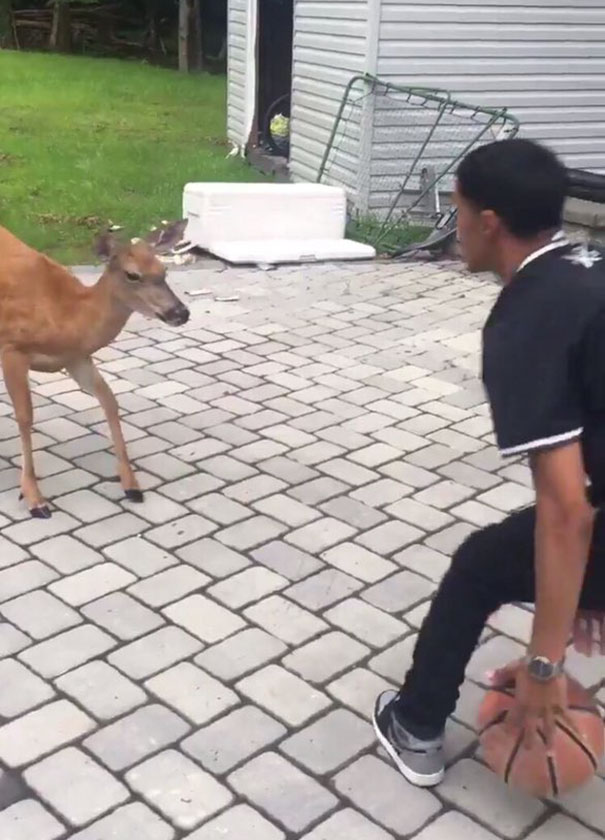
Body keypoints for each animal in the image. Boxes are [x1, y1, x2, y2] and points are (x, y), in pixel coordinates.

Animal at [0, 225, 190, 519]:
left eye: (164, 270)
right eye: (132, 274)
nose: (181, 313)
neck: (68, 317)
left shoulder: (77, 358)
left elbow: (109, 401)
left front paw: (131, 485)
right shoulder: (12, 347)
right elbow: (25, 417)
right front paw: (34, 498)